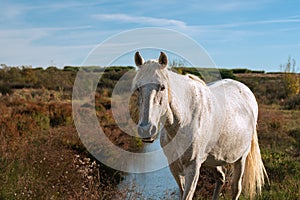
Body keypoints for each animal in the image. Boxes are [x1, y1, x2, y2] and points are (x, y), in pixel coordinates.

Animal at [132, 52, 268, 200]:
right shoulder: (174, 166)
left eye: (162, 87)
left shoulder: (193, 167)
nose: (146, 129)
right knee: (220, 178)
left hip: (241, 158)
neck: (183, 122)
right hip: (213, 160)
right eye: (138, 88)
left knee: (236, 188)